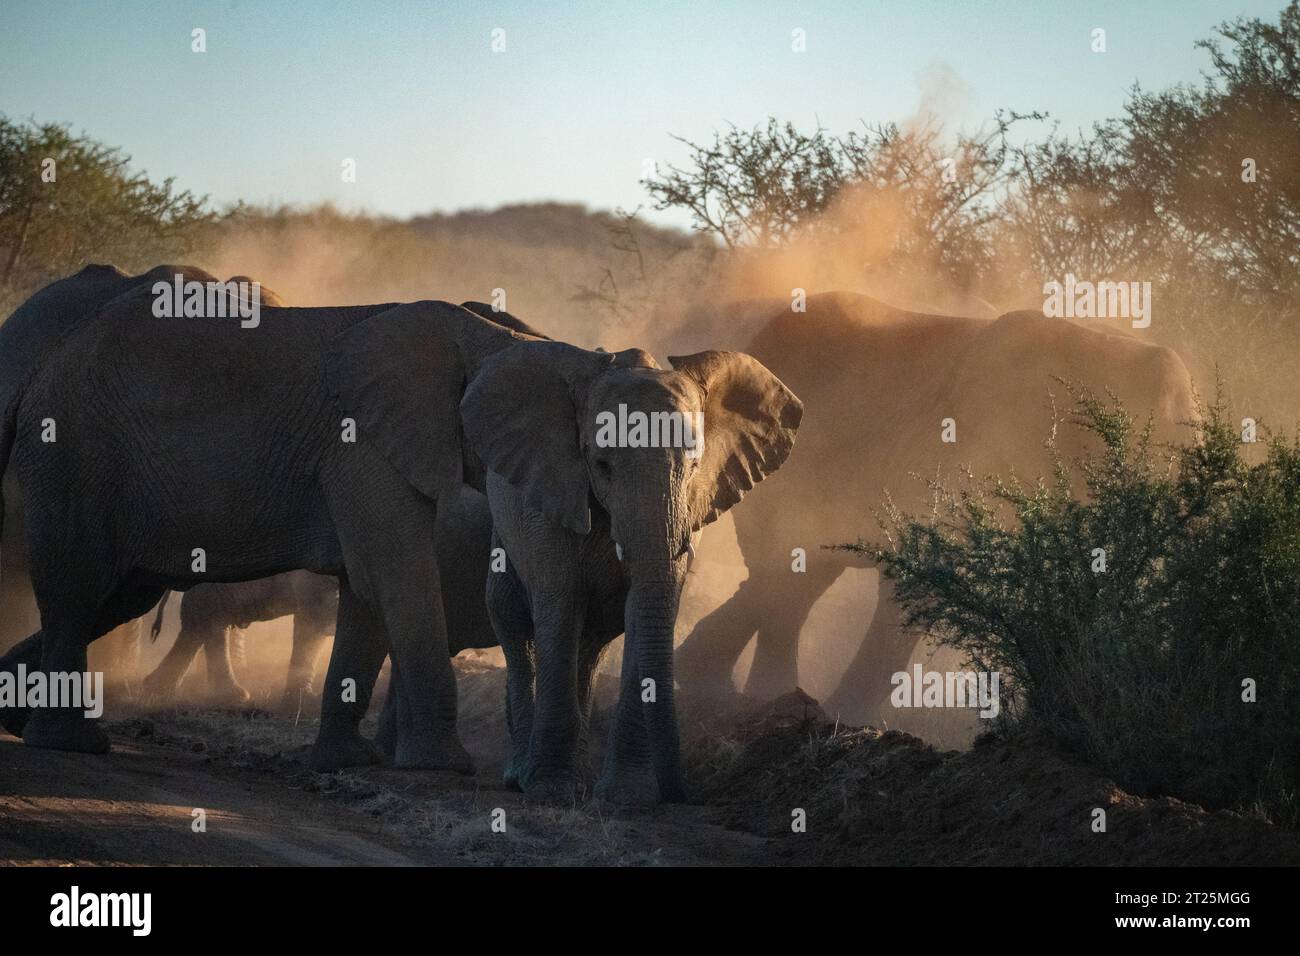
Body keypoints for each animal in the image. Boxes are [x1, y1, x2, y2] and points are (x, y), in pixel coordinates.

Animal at [0, 265, 644, 775]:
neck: (482, 331)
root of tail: (43, 365)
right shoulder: (362, 445)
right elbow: (395, 572)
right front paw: (442, 766)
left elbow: (366, 589)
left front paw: (347, 761)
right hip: (74, 450)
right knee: (77, 584)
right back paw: (71, 743)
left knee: (118, 596)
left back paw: (15, 709)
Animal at [475, 348, 800, 806]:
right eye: (602, 465)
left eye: (695, 465)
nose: (682, 794)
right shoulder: (551, 498)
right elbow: (560, 604)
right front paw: (553, 792)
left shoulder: (690, 510)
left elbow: (645, 608)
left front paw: (626, 798)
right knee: (513, 618)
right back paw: (523, 775)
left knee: (590, 643)